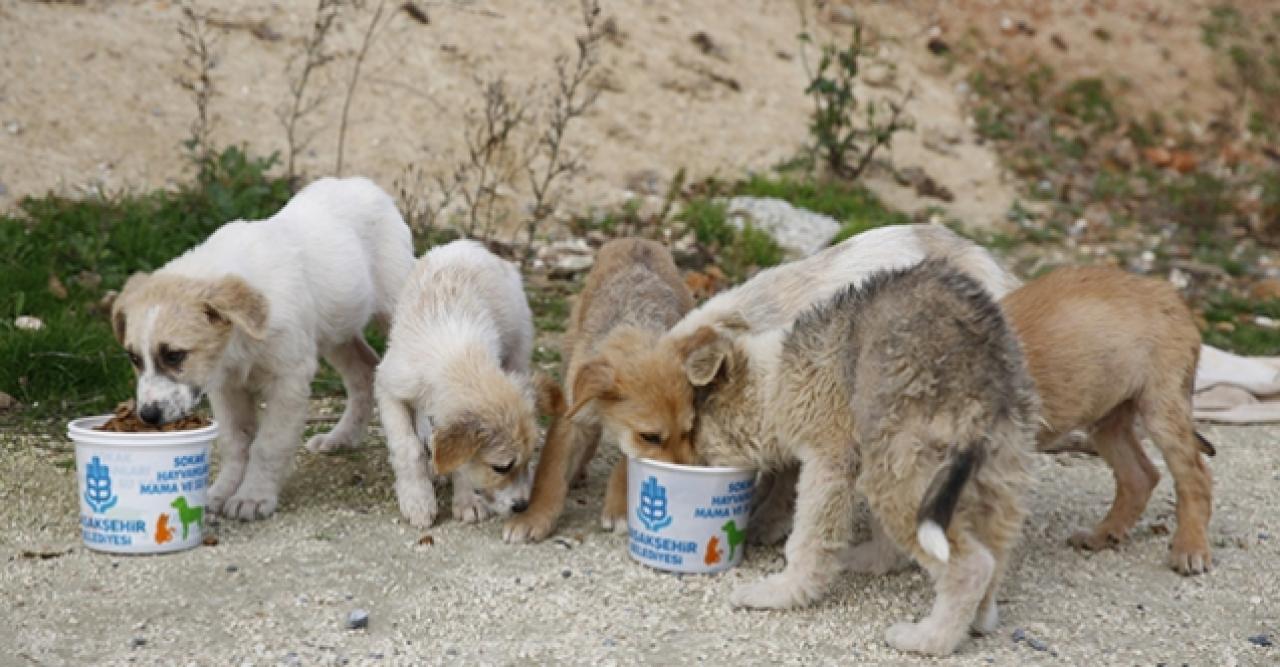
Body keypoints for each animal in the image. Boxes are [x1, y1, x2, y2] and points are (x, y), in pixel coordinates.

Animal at [112, 176, 409, 519]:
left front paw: (253, 496)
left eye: (174, 355)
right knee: (364, 371)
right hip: (336, 330)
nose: (147, 416)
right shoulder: (225, 386)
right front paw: (222, 490)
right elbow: (235, 442)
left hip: (392, 309)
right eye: (133, 358)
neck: (239, 342)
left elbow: (268, 445)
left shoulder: (288, 380)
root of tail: (359, 182)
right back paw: (342, 437)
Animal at [373, 239, 545, 524]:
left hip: (517, 353)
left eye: (530, 457)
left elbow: (461, 461)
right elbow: (407, 446)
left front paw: (466, 501)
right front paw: (417, 500)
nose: (522, 506)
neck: (458, 357)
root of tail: (470, 245)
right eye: (502, 467)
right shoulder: (389, 388)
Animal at [501, 239, 701, 540]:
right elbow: (551, 473)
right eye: (651, 437)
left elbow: (625, 463)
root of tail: (638, 240)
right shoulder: (571, 417)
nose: (681, 492)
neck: (633, 323)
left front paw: (620, 508)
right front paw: (534, 517)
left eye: (689, 432)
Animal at [675, 261, 1034, 655]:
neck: (775, 378)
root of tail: (979, 375)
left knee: (971, 567)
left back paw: (928, 639)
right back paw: (979, 617)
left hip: (899, 472)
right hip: (997, 469)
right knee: (996, 552)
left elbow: (809, 538)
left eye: (694, 430)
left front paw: (782, 592)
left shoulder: (829, 459)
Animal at [1003, 265, 1213, 570]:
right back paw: (1104, 534)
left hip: (1162, 409)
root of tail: (1167, 291)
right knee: (1140, 476)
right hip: (1108, 420)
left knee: (1195, 476)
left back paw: (1191, 546)